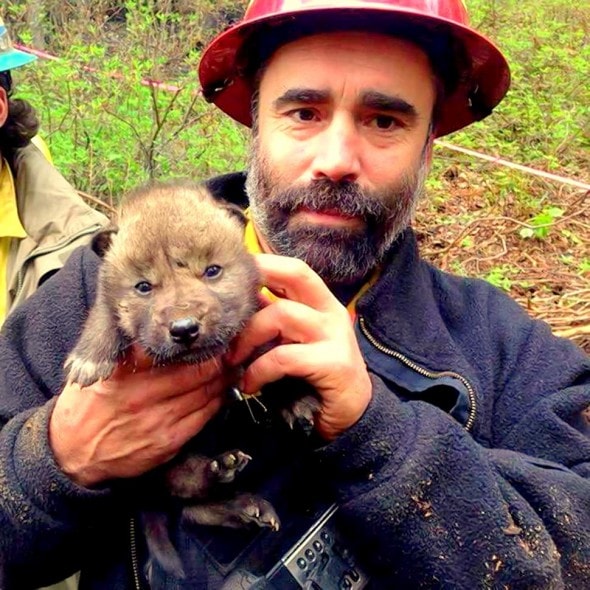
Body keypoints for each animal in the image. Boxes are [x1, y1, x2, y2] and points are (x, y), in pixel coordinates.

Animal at [66, 183, 282, 580]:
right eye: (143, 287)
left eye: (212, 271)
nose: (184, 329)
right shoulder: (109, 302)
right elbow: (105, 314)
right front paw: (90, 357)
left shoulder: (255, 314)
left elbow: (268, 345)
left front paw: (299, 397)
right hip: (162, 467)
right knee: (186, 490)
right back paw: (227, 479)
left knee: (192, 503)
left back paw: (242, 501)